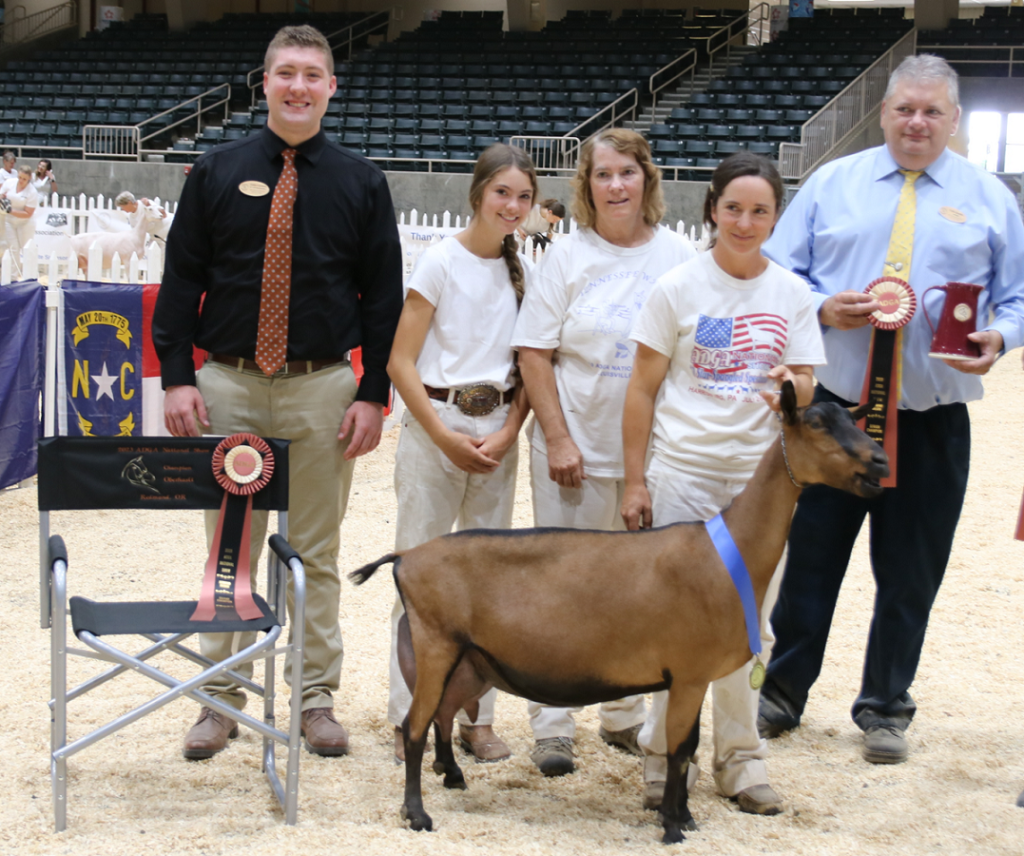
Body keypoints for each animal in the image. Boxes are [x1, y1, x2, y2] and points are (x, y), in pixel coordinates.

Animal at [350, 382, 888, 843]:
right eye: (816, 423)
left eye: (852, 419)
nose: (881, 461)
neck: (728, 551)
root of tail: (406, 558)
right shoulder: (688, 674)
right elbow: (677, 750)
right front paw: (671, 826)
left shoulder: (691, 677)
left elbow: (689, 745)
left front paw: (685, 818)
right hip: (435, 643)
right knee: (414, 725)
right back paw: (417, 814)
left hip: (472, 660)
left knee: (442, 712)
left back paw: (453, 776)